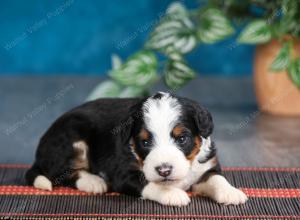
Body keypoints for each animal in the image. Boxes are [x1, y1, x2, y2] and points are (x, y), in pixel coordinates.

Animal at [25, 91, 247, 206]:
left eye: (182, 138)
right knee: (60, 173)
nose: (164, 170)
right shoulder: (123, 173)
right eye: (145, 142)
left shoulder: (206, 165)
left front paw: (231, 193)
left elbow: (216, 178)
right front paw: (173, 194)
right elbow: (151, 184)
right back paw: (94, 182)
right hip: (72, 138)